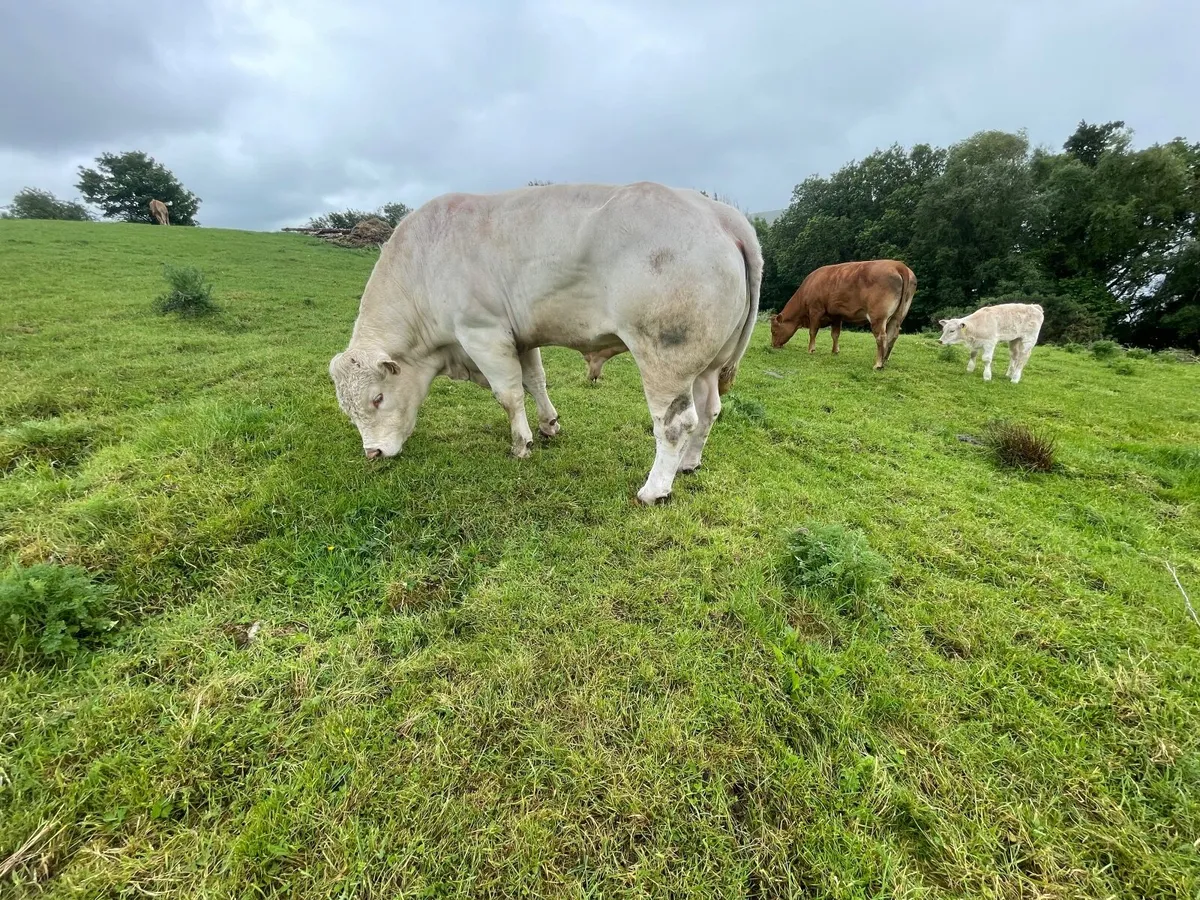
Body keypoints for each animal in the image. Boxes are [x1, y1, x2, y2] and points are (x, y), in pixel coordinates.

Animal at [328, 181, 763, 506]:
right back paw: (689, 464)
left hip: (666, 355)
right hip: (708, 365)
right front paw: (549, 424)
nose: (372, 453)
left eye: (377, 398)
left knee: (676, 423)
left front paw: (522, 444)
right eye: (347, 410)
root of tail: (720, 214)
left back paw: (655, 490)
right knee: (709, 412)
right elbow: (534, 381)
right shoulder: (519, 337)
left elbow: (508, 395)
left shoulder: (482, 333)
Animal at [768, 259, 917, 369]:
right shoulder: (836, 315)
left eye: (773, 331)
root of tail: (898, 265)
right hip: (898, 315)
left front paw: (811, 349)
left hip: (878, 316)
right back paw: (885, 360)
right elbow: (835, 334)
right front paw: (835, 351)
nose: (773, 345)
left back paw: (878, 364)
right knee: (893, 335)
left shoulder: (815, 310)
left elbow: (812, 332)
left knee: (881, 336)